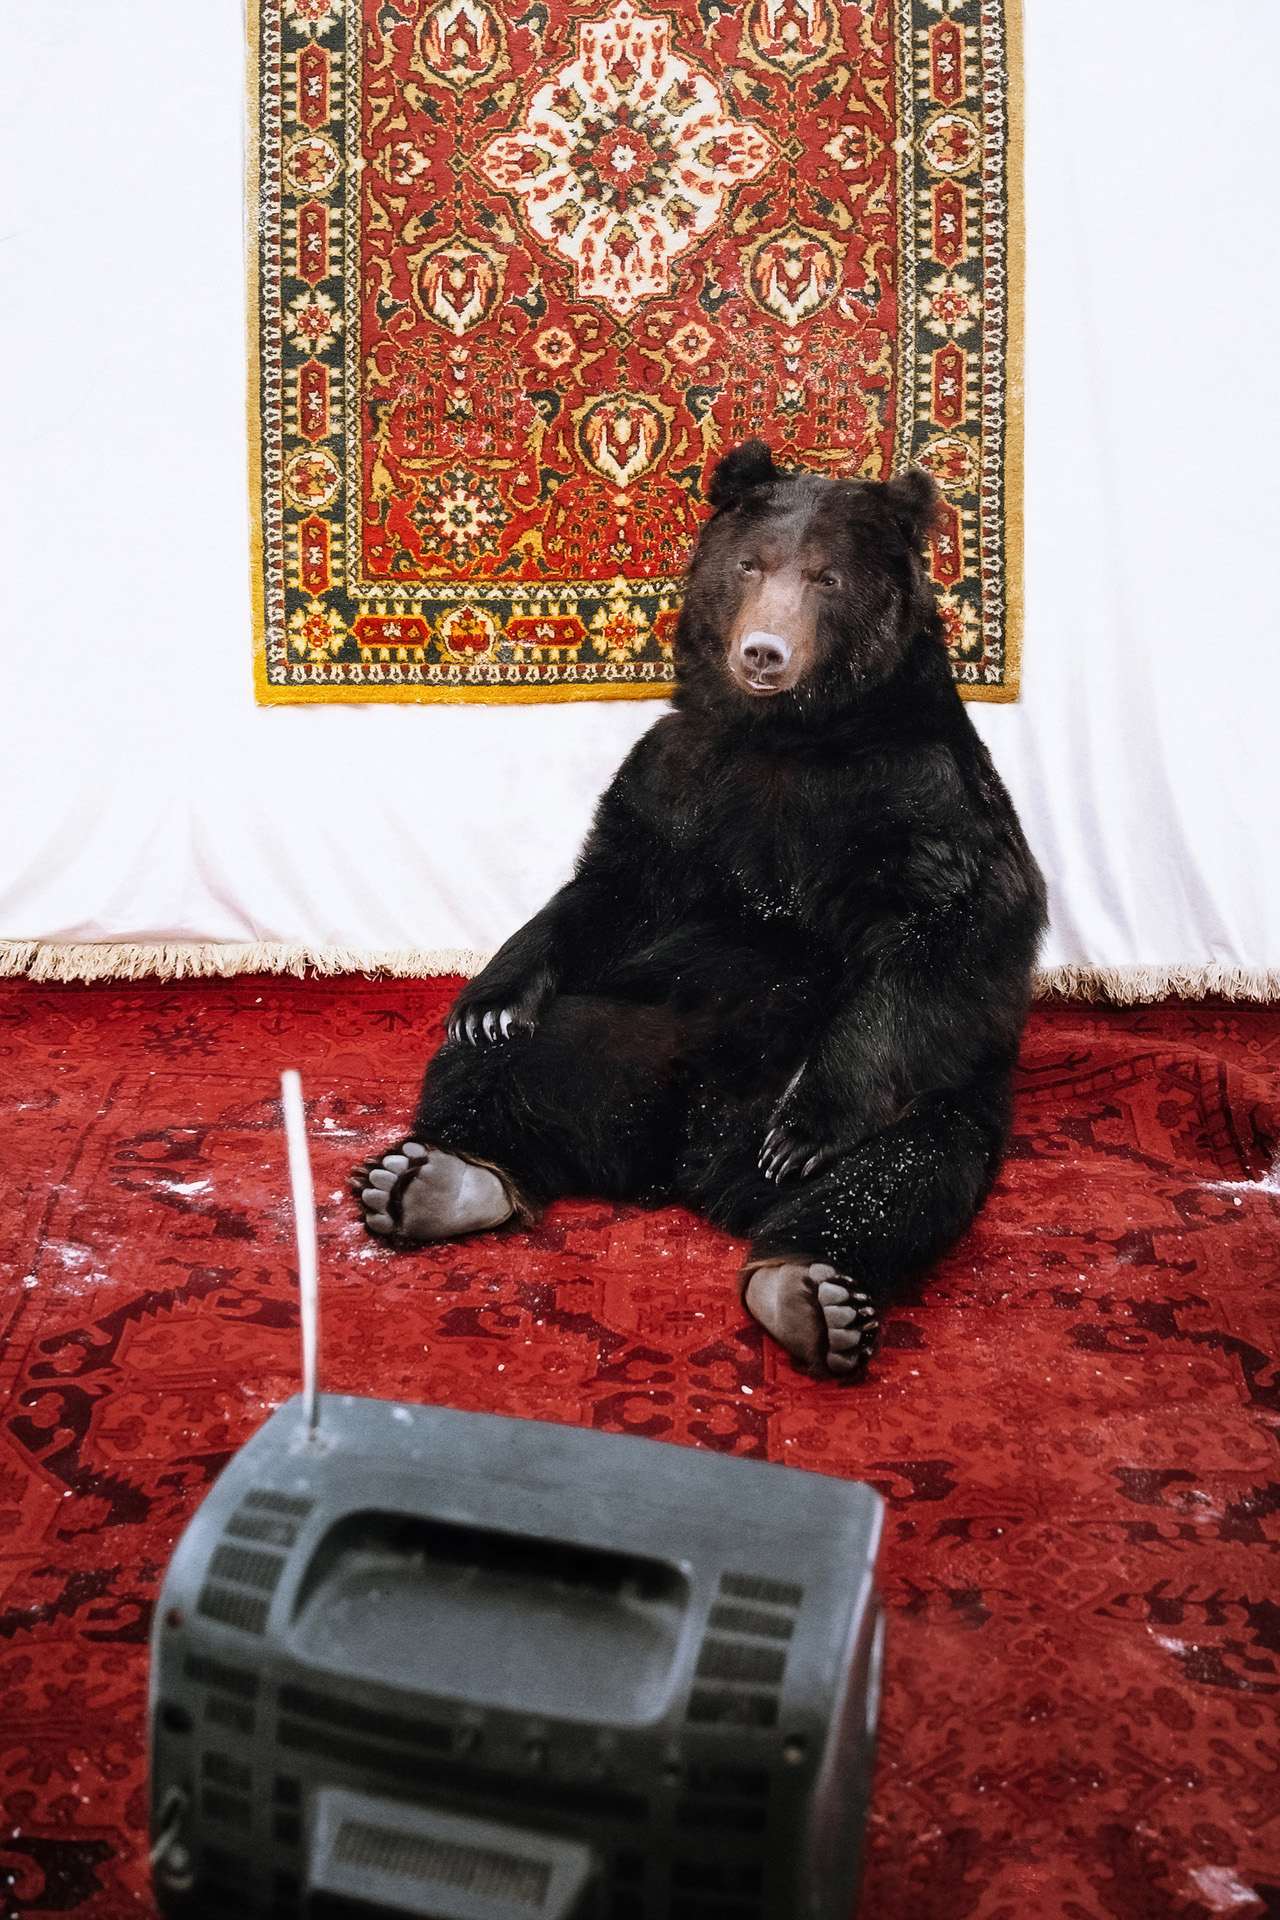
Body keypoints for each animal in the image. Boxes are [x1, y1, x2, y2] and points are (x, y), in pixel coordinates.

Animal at [355, 440, 1047, 1380]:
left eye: (826, 577)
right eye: (750, 565)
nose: (763, 651)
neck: (790, 738)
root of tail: (687, 1170)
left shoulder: (920, 798)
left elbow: (941, 938)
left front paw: (805, 1126)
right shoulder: (683, 779)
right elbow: (610, 885)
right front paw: (489, 1000)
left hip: (932, 1104)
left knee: (905, 1166)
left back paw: (811, 1289)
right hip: (621, 1032)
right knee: (508, 1072)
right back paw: (431, 1177)